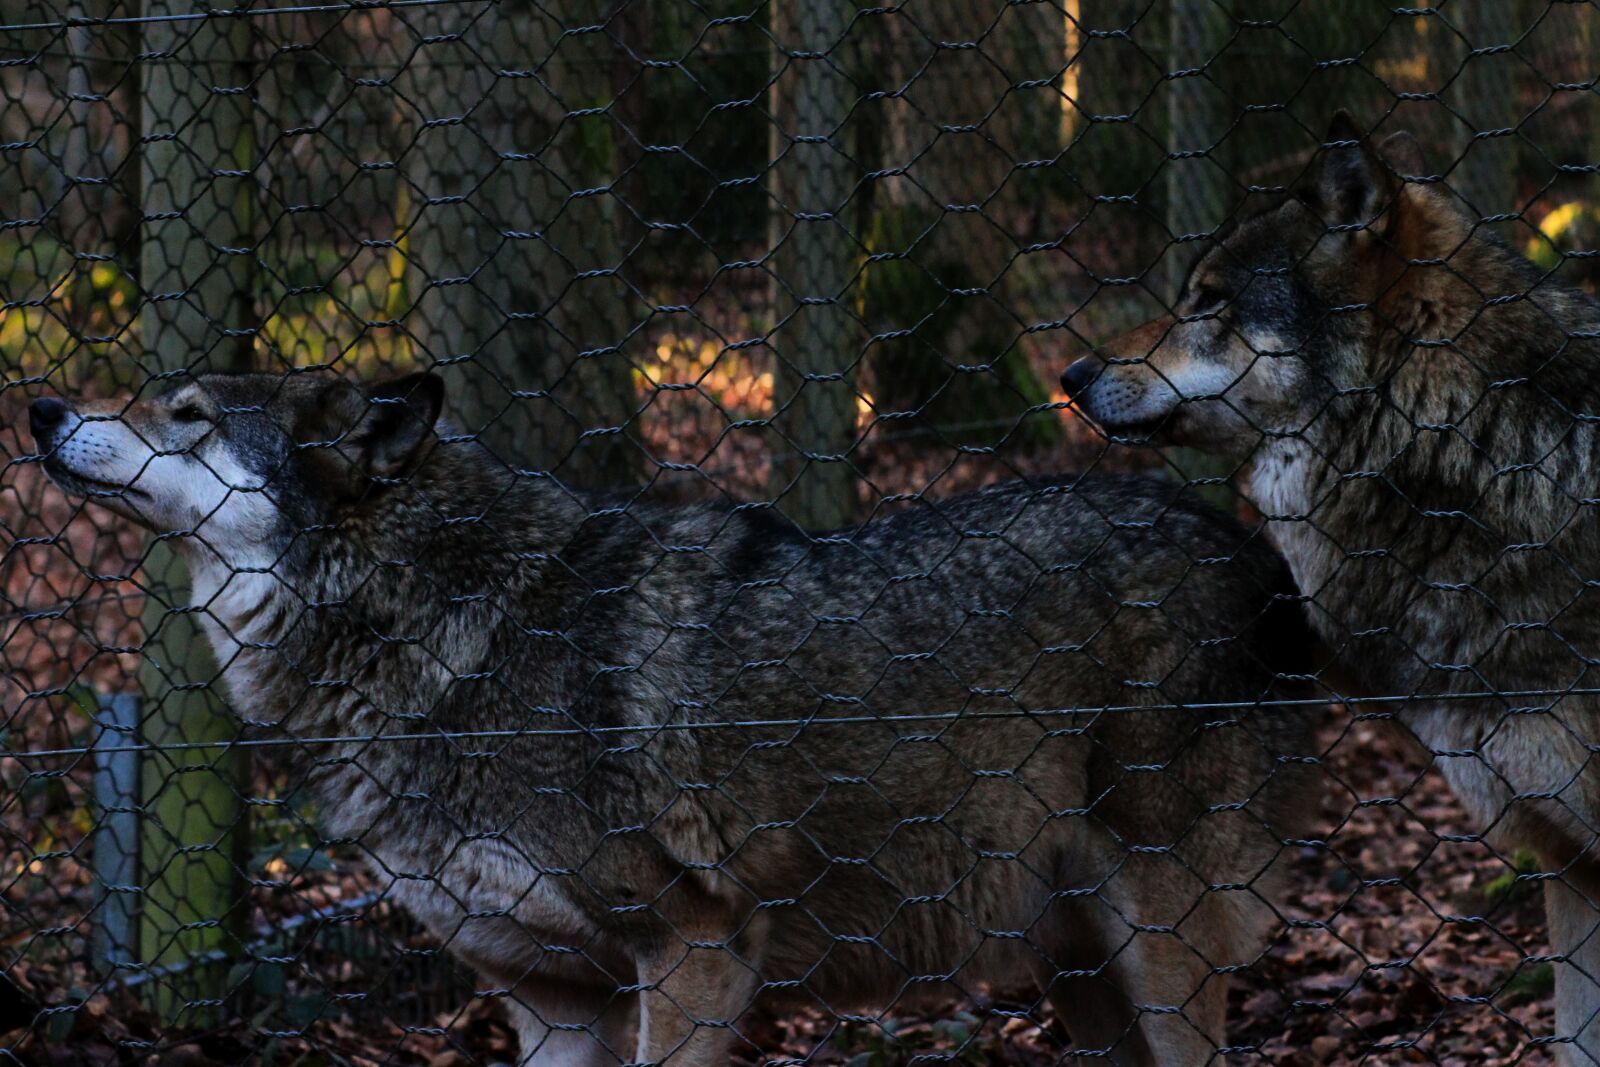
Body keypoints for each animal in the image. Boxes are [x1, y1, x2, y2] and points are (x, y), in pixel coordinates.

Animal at [28, 370, 1314, 1065]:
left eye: (187, 410)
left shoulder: (695, 949)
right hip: (1082, 973)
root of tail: (1249, 550)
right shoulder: (550, 1000)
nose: (38, 404)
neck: (439, 630)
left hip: (1157, 942)